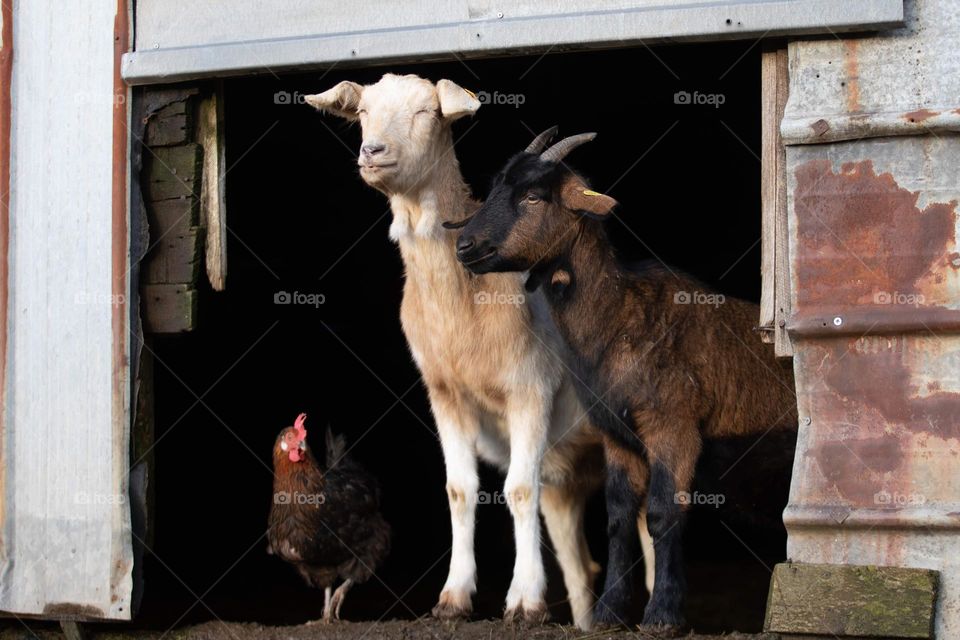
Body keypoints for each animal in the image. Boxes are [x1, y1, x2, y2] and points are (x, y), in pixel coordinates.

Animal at [304, 76, 606, 628]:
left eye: (428, 111)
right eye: (362, 111)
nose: (372, 152)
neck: (464, 306)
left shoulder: (530, 385)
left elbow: (518, 489)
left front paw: (524, 603)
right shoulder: (444, 393)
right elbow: (460, 488)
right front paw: (453, 597)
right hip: (568, 468)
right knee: (580, 565)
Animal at [455, 130, 798, 634]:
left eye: (534, 196)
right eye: (497, 186)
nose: (464, 245)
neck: (620, 317)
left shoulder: (672, 426)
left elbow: (662, 512)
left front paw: (663, 615)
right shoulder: (614, 434)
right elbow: (618, 518)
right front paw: (609, 613)